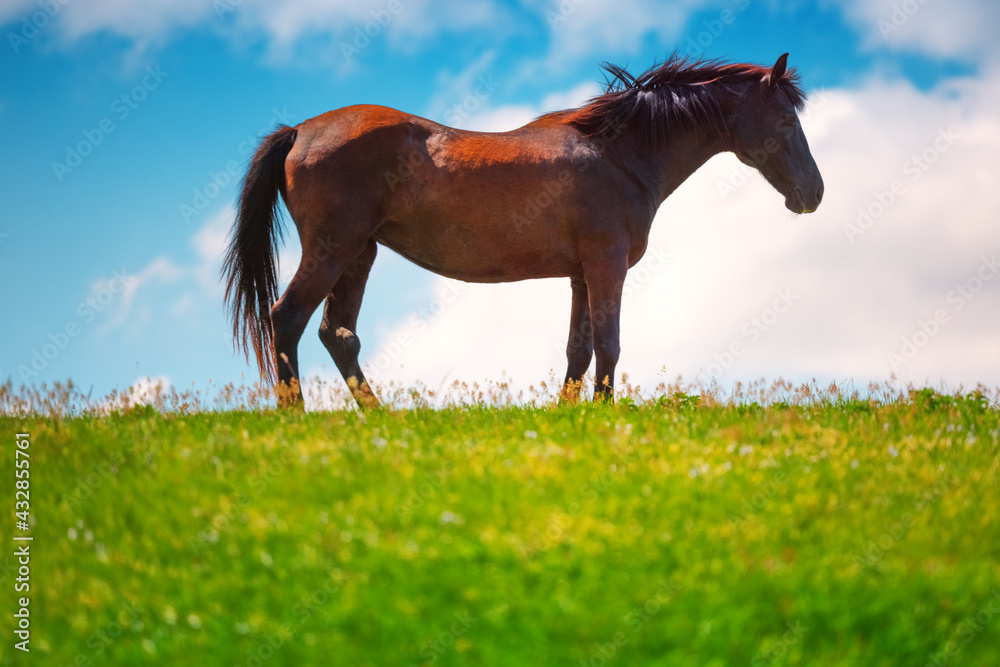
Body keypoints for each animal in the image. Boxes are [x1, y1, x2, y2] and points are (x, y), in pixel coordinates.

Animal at [222, 53, 824, 408]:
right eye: (786, 119)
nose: (813, 194)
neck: (618, 153)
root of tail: (300, 129)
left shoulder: (581, 275)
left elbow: (579, 350)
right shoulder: (606, 265)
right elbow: (609, 346)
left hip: (358, 255)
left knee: (338, 334)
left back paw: (380, 420)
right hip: (332, 250)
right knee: (287, 319)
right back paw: (299, 418)